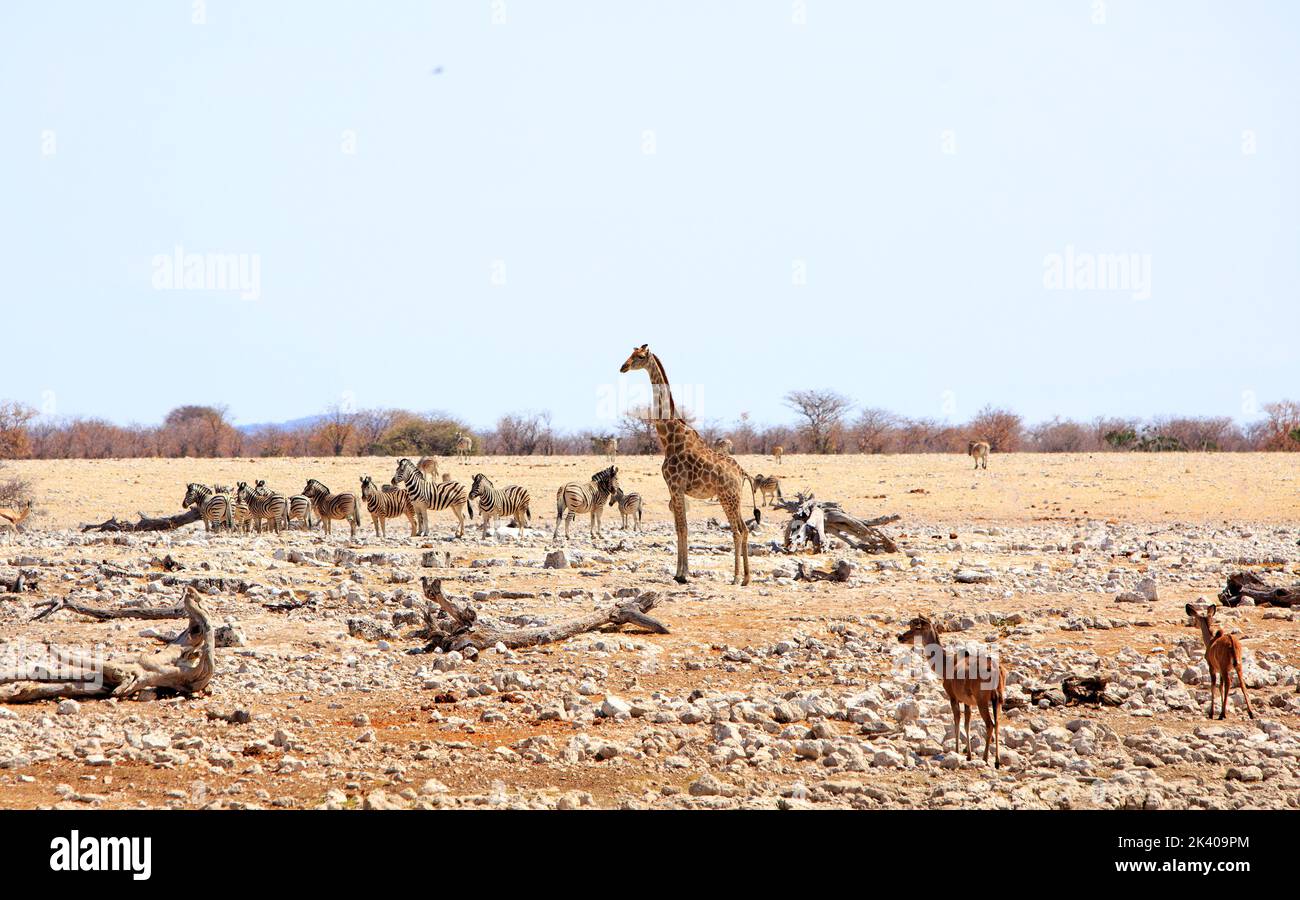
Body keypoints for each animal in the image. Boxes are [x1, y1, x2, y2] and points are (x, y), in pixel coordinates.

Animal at [621, 343, 759, 582]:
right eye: (630, 354)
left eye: (639, 356)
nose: (623, 367)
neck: (669, 438)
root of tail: (742, 472)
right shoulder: (674, 488)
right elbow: (679, 527)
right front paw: (680, 572)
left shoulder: (676, 486)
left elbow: (682, 528)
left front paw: (682, 574)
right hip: (735, 498)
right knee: (744, 529)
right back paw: (745, 578)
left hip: (727, 497)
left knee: (738, 530)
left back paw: (735, 577)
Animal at [899, 616, 1008, 769]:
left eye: (917, 627)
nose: (900, 637)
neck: (945, 664)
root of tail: (998, 671)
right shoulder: (968, 701)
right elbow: (967, 724)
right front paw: (968, 755)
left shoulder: (952, 696)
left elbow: (956, 720)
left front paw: (956, 751)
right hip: (998, 699)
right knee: (997, 723)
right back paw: (997, 761)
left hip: (982, 700)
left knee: (990, 724)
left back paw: (986, 758)